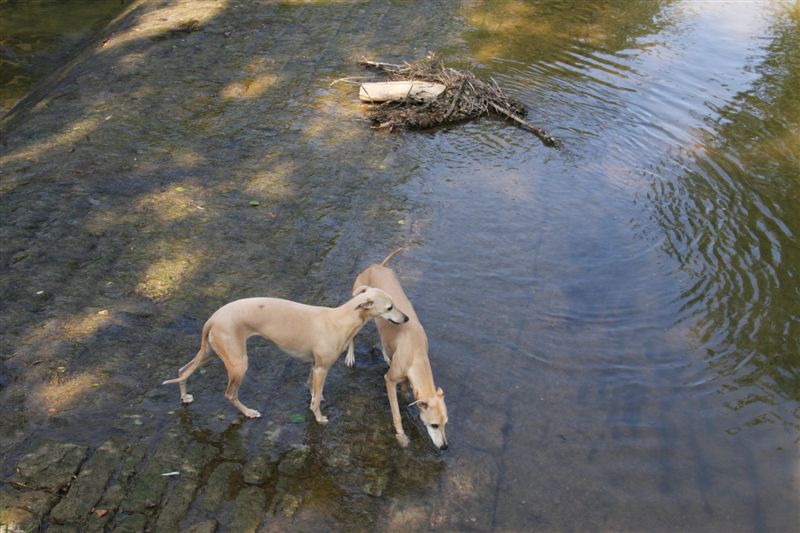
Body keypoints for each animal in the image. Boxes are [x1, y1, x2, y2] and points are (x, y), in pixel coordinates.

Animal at [162, 288, 408, 423]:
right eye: (389, 307)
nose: (406, 318)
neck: (340, 319)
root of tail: (213, 318)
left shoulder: (314, 367)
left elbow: (313, 391)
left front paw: (316, 398)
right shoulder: (322, 368)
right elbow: (315, 401)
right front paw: (319, 418)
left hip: (212, 352)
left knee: (183, 370)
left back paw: (185, 397)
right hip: (238, 363)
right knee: (230, 394)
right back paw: (249, 412)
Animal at [346, 248, 449, 449]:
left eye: (445, 423)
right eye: (434, 425)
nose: (445, 447)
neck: (416, 351)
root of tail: (376, 266)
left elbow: (405, 388)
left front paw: (406, 395)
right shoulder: (389, 380)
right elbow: (396, 414)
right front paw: (401, 437)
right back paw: (351, 357)